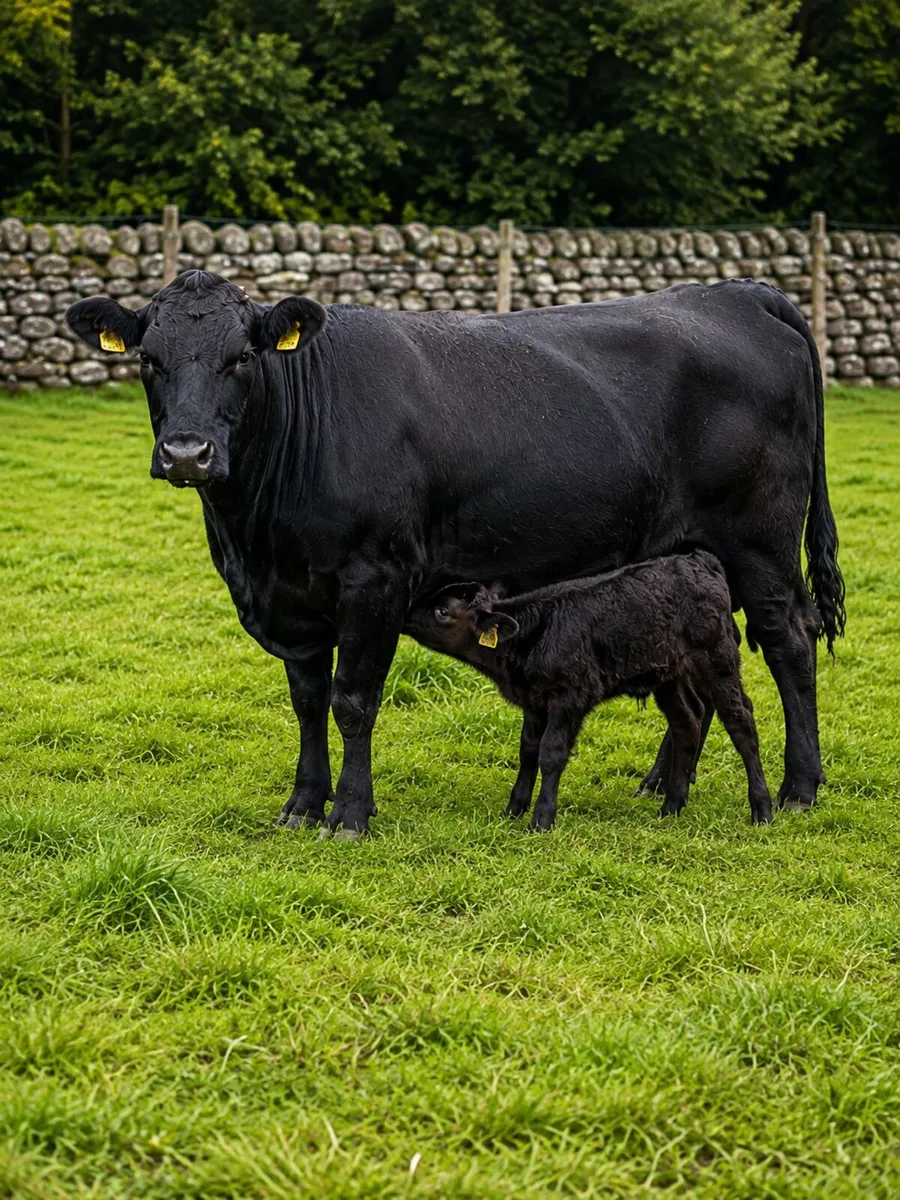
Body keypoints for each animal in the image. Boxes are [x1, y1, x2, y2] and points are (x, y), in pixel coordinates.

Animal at [404, 553, 772, 830]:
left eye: (442, 611)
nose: (406, 614)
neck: (536, 632)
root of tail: (698, 560)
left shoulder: (570, 696)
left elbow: (551, 753)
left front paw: (541, 819)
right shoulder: (534, 701)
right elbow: (528, 750)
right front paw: (513, 809)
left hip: (717, 657)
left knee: (740, 722)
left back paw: (762, 809)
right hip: (668, 675)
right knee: (687, 723)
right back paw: (671, 807)